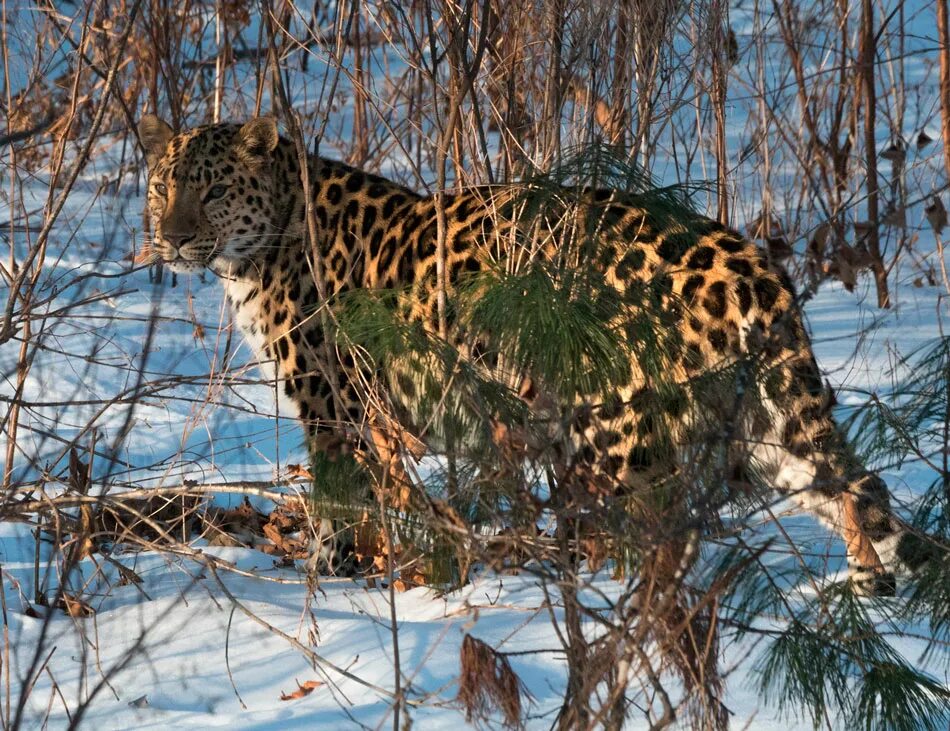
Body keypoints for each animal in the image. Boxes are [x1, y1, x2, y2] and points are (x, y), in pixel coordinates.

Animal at [138, 114, 932, 596]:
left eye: (213, 188)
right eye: (161, 185)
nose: (171, 237)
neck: (259, 247)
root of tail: (747, 263)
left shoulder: (334, 409)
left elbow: (341, 498)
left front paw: (328, 573)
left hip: (618, 433)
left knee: (655, 536)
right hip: (761, 425)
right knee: (854, 488)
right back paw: (871, 587)